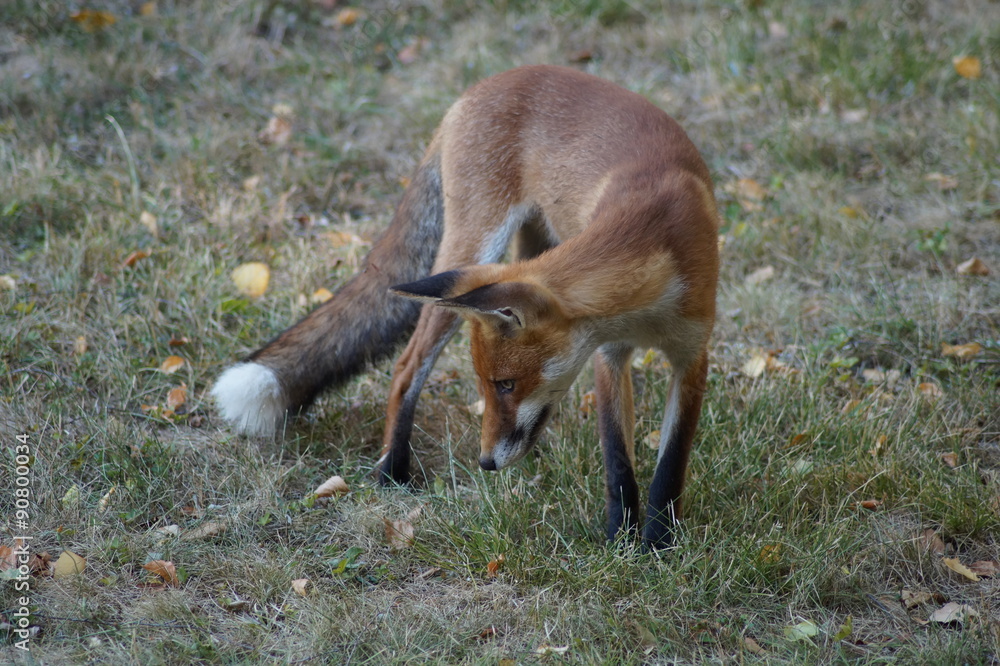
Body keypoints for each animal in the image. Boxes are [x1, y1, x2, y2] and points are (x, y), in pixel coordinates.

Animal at [212, 65, 719, 549]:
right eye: (492, 385)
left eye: (506, 384)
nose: (486, 462)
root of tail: (478, 88)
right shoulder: (608, 356)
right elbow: (618, 463)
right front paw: (621, 539)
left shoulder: (692, 353)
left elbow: (670, 466)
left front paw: (659, 543)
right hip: (471, 251)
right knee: (405, 366)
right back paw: (392, 473)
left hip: (512, 252)